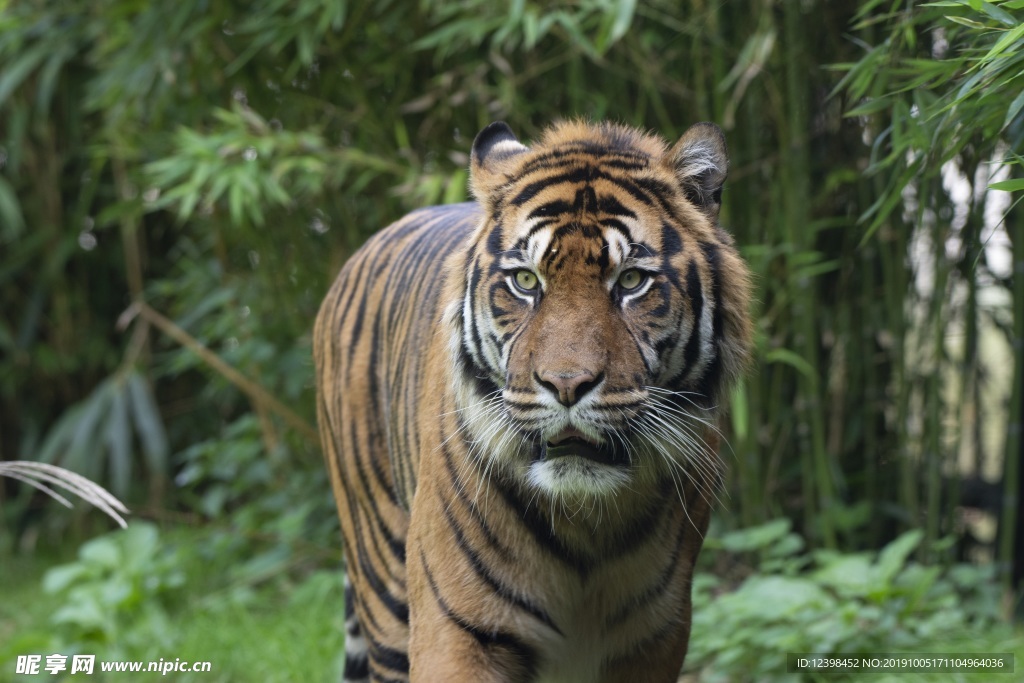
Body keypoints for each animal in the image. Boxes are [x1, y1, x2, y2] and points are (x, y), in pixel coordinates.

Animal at [313, 119, 753, 683]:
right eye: (525, 280)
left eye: (631, 280)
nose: (566, 385)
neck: (588, 527)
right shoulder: (457, 629)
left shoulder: (655, 636)